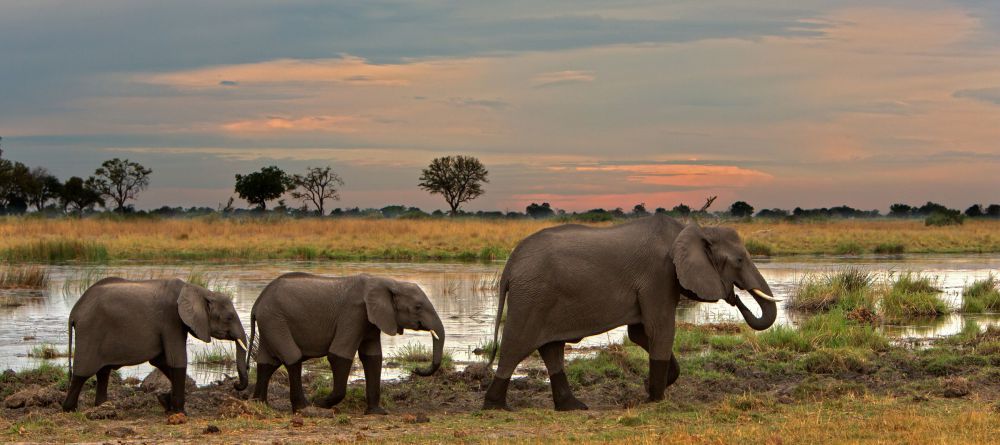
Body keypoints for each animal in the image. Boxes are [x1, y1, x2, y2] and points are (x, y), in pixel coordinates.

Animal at [61, 276, 249, 412]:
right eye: (229, 317)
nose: (236, 385)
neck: (200, 290)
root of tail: (74, 312)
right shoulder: (171, 320)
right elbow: (176, 360)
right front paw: (179, 411)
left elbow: (161, 361)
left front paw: (165, 401)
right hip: (90, 332)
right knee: (82, 373)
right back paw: (70, 409)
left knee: (103, 372)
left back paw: (102, 406)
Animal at [249, 270, 446, 412]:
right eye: (417, 307)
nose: (416, 369)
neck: (388, 282)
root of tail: (257, 302)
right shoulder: (353, 313)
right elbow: (338, 354)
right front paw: (320, 402)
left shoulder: (370, 319)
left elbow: (373, 357)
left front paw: (377, 412)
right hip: (274, 319)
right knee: (292, 357)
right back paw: (305, 408)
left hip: (271, 322)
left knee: (267, 362)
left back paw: (260, 404)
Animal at [482, 214, 780, 410]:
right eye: (739, 260)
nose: (735, 297)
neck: (692, 231)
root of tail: (510, 265)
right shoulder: (659, 275)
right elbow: (660, 329)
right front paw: (655, 399)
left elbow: (639, 333)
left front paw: (649, 389)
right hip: (532, 296)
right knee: (516, 346)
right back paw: (496, 406)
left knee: (551, 348)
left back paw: (573, 406)